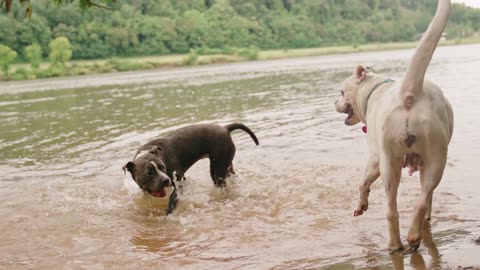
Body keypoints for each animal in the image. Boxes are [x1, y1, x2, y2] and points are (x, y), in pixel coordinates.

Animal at [336, 0, 452, 253]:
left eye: (340, 92)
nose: (334, 103)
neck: (374, 89)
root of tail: (409, 94)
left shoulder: (374, 157)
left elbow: (362, 182)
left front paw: (360, 205)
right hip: (433, 160)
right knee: (421, 199)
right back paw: (413, 235)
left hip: (391, 162)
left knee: (393, 209)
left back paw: (396, 244)